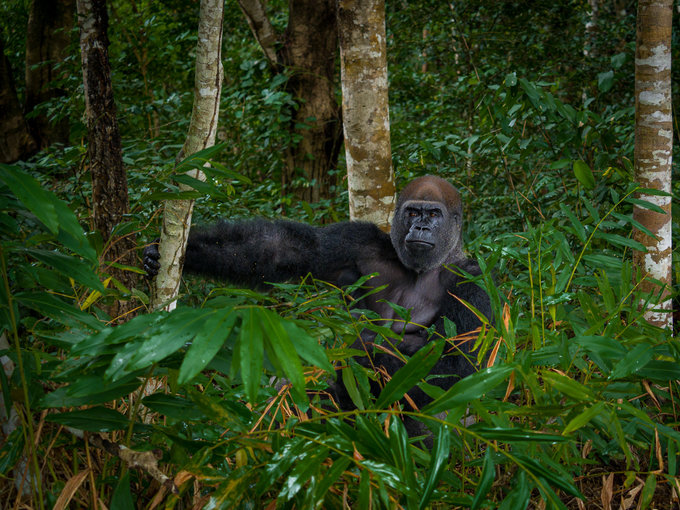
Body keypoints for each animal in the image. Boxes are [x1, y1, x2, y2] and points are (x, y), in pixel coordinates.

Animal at [145, 174, 494, 434]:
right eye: (412, 212)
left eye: (433, 214)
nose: (420, 227)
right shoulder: (359, 240)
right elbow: (283, 250)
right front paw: (181, 251)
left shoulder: (474, 285)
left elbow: (453, 367)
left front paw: (363, 354)